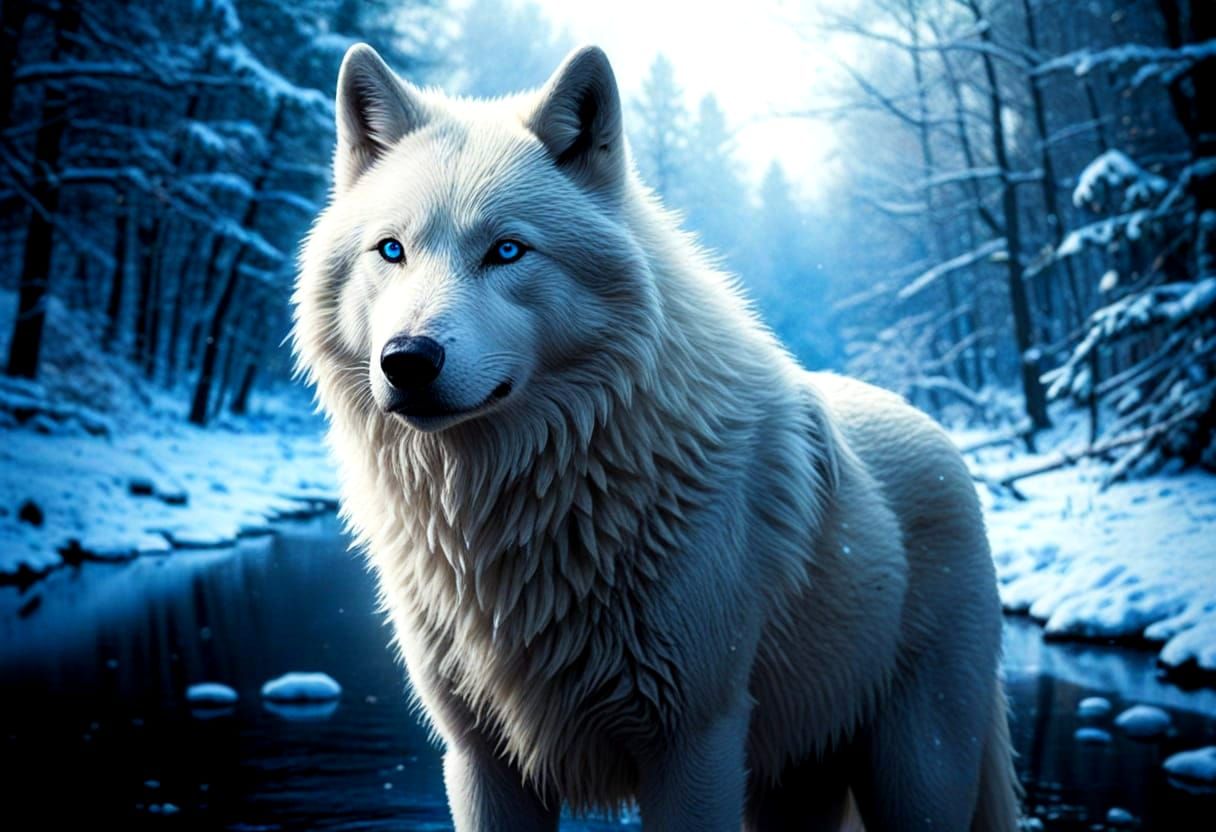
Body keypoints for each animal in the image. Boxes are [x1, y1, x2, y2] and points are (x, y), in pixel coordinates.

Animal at [292, 43, 1020, 832]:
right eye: (391, 250)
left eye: (507, 251)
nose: (407, 359)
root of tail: (937, 432)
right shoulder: (480, 759)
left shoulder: (693, 743)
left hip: (916, 772)